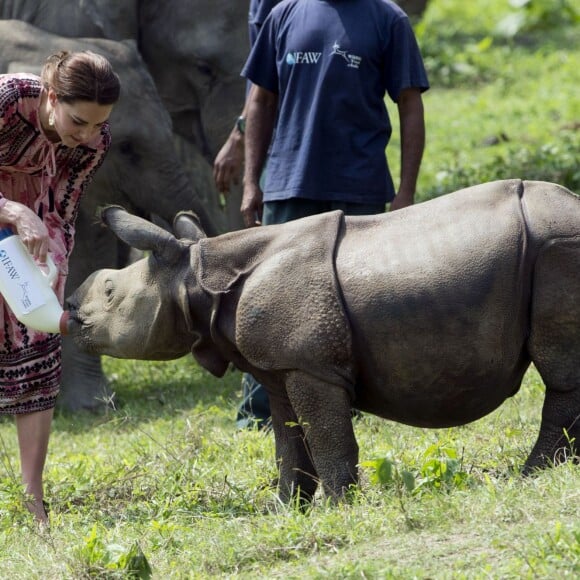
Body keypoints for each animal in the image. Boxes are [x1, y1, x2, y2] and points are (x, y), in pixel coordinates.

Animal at [64, 179, 580, 500]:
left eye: (109, 293)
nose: (69, 308)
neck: (195, 277)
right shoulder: (279, 366)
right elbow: (289, 441)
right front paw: (284, 509)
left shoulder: (310, 363)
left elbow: (326, 435)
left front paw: (338, 504)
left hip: (557, 248)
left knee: (561, 372)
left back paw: (532, 474)